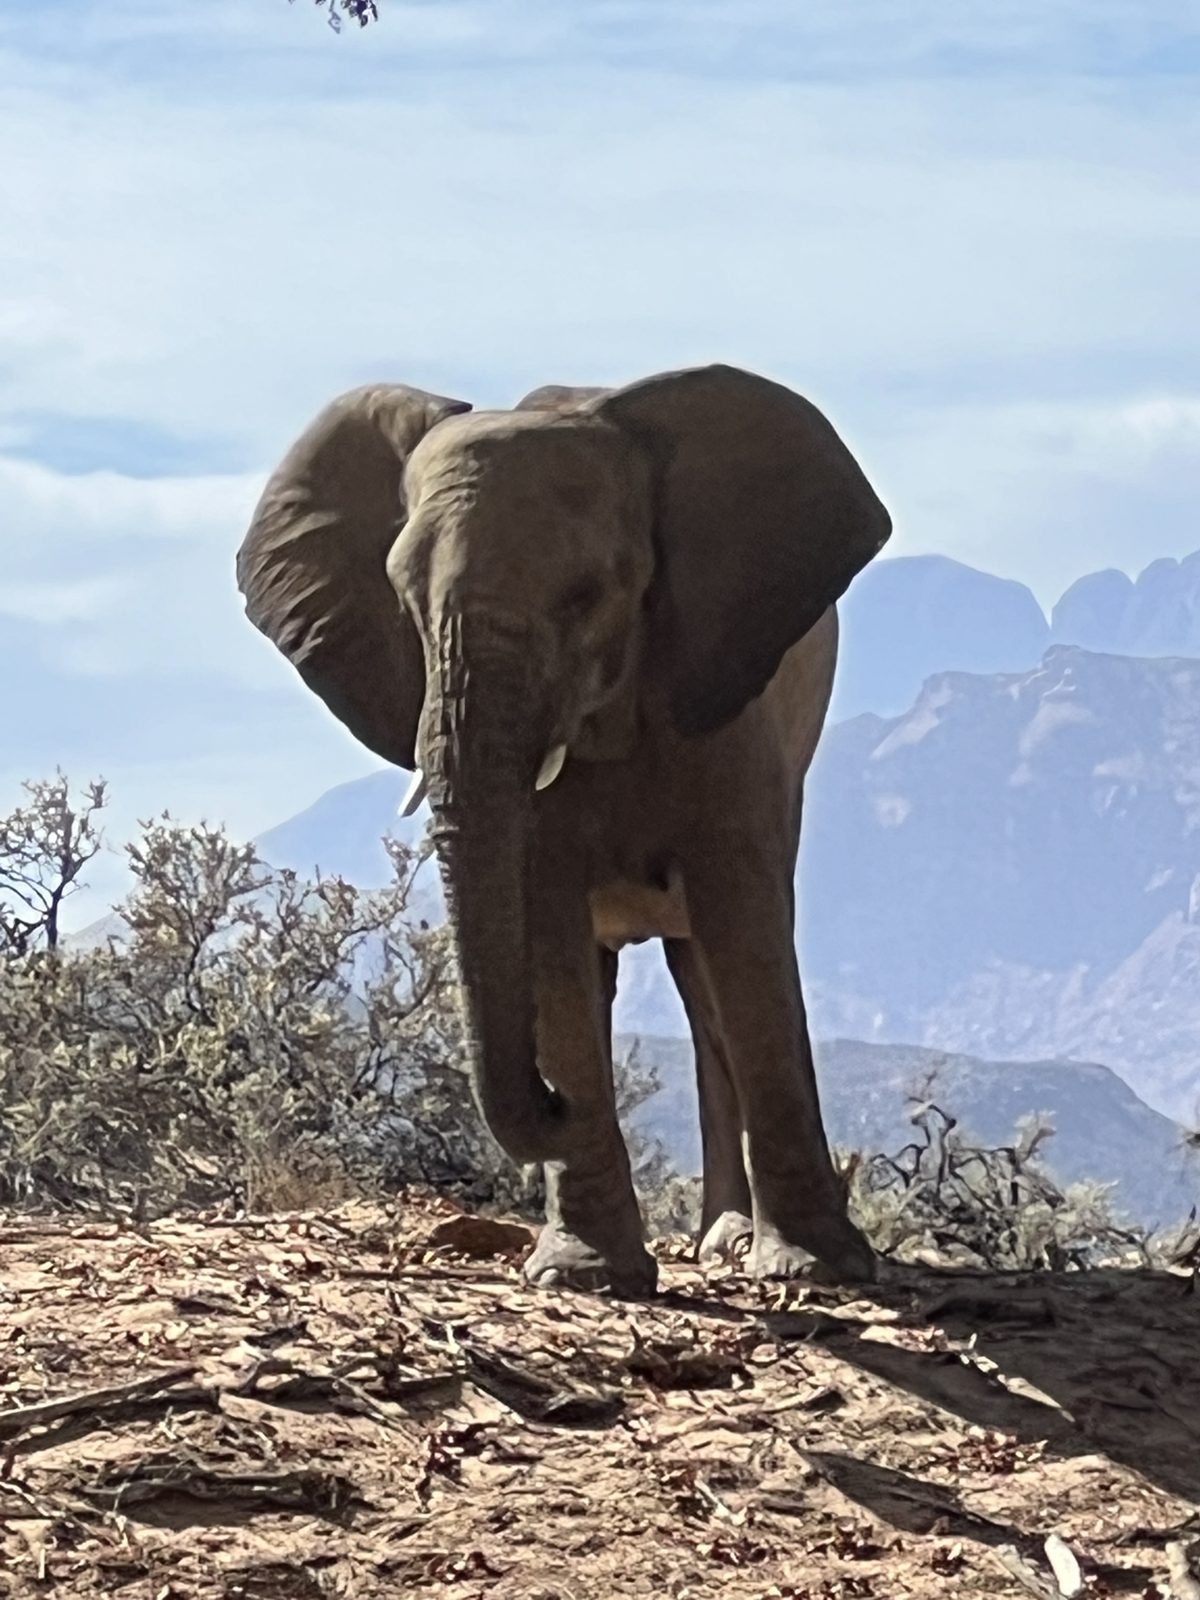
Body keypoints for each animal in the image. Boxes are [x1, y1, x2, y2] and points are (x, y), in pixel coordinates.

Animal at [236, 363, 892, 1295]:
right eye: (403, 599)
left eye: (587, 596)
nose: (554, 1105)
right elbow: (548, 929)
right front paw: (584, 1275)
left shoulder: (728, 710)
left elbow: (744, 929)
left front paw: (815, 1272)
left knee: (706, 979)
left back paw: (727, 1242)